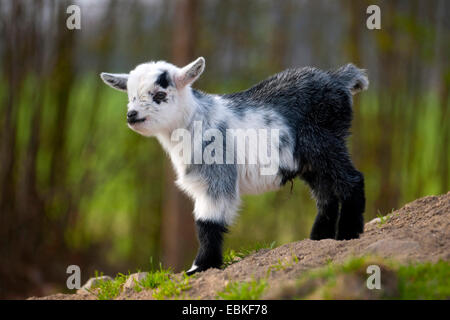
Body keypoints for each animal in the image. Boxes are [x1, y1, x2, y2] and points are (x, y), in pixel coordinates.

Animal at [100, 56, 368, 274]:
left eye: (159, 95)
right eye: (131, 97)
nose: (132, 115)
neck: (196, 121)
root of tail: (337, 79)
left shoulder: (217, 175)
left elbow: (207, 222)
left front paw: (200, 267)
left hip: (325, 142)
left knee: (351, 179)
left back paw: (348, 233)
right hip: (310, 161)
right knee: (326, 193)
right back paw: (319, 238)